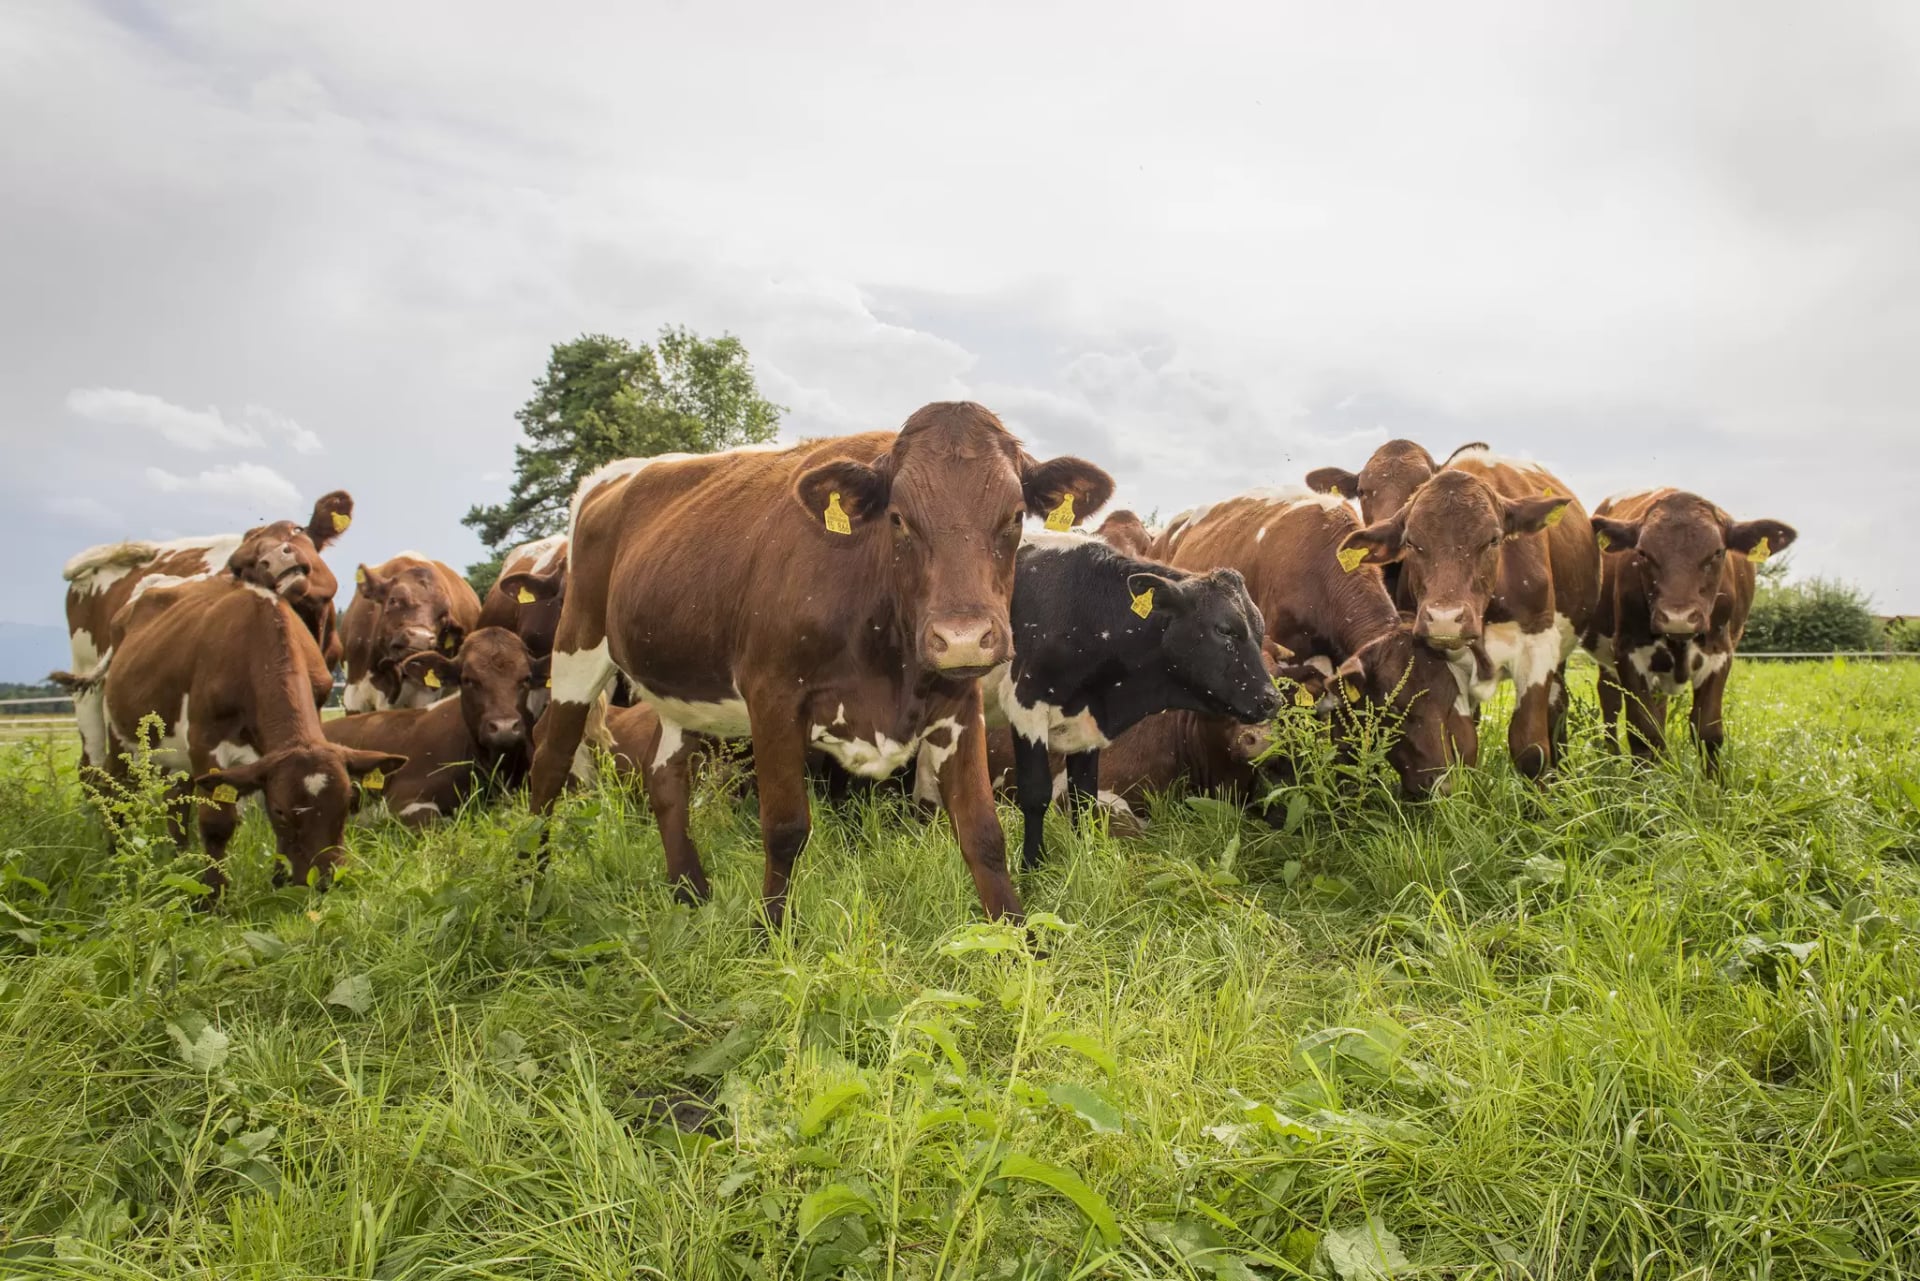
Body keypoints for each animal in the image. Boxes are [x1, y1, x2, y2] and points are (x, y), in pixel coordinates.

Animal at [86, 574, 403, 894]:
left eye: (348, 802)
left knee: (177, 798)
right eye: (280, 811)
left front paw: (279, 878)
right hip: (121, 735)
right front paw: (213, 893)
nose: (324, 880)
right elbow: (217, 822)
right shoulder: (205, 743)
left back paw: (180, 854)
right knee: (114, 787)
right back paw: (115, 855)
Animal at [525, 403, 1114, 926]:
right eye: (898, 519)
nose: (964, 639)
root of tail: (620, 473)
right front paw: (770, 935)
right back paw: (529, 882)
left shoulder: (958, 705)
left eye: (1014, 517)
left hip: (681, 683)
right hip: (577, 646)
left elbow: (983, 833)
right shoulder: (773, 697)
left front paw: (1019, 942)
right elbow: (785, 828)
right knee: (549, 763)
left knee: (666, 779)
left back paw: (690, 891)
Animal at [985, 529, 1281, 867]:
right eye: (1225, 629)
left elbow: (1083, 797)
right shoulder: (1026, 707)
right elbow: (1035, 794)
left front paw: (1085, 859)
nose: (1271, 699)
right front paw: (1032, 868)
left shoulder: (1086, 721)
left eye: (1260, 631)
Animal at [1336, 449, 1598, 778]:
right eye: (1411, 542)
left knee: (1556, 707)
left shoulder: (1537, 647)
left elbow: (1530, 748)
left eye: (1493, 540)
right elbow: (1464, 745)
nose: (1444, 619)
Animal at [1584, 489, 1796, 767]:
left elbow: (1708, 731)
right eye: (1642, 553)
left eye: (1717, 552)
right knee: (1610, 699)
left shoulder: (1719, 653)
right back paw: (1612, 760)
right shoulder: (1628, 651)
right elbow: (1644, 731)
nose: (1678, 617)